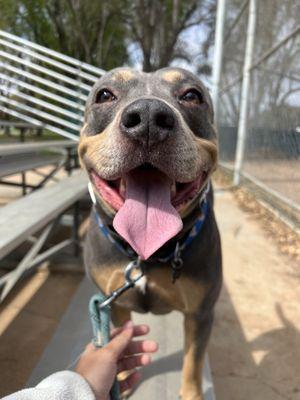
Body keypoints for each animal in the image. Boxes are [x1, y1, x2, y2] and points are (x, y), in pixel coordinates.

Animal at [78, 67, 221, 398]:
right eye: (104, 94)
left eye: (192, 95)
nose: (148, 117)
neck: (145, 254)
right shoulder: (114, 304)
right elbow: (120, 344)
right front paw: (119, 380)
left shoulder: (200, 313)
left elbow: (193, 362)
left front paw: (191, 393)